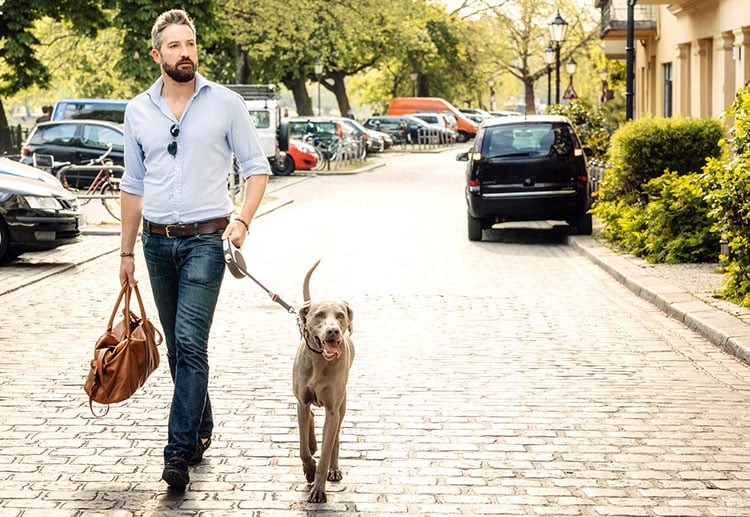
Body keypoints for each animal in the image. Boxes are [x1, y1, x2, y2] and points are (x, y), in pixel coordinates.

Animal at [290, 260, 356, 502]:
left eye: (340, 315)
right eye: (319, 315)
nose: (333, 331)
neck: (320, 361)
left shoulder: (332, 409)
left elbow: (327, 448)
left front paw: (318, 489)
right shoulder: (301, 401)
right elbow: (302, 448)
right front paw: (309, 468)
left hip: (342, 404)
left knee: (335, 437)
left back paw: (334, 469)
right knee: (308, 418)